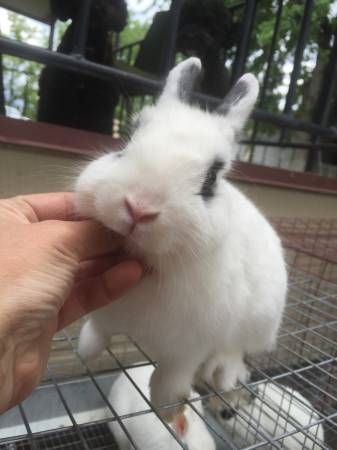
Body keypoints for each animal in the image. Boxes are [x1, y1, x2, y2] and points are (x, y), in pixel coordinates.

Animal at [76, 58, 286, 420]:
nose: (139, 207)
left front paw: (167, 408)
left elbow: (171, 377)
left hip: (260, 321)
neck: (152, 265)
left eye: (212, 177)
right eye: (126, 142)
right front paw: (84, 350)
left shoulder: (191, 345)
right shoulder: (107, 311)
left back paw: (224, 372)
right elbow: (99, 329)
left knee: (235, 348)